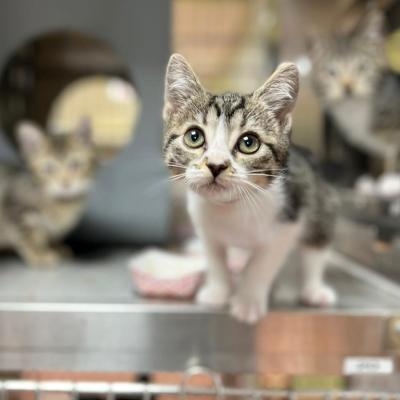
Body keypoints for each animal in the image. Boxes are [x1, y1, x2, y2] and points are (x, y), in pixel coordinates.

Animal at [0, 119, 96, 268]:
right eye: (49, 168)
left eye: (75, 164)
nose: (65, 183)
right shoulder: (15, 212)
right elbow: (27, 237)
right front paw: (39, 255)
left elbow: (47, 237)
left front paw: (55, 248)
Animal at [162, 54, 338, 324]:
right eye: (194, 137)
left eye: (248, 143)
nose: (216, 165)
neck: (231, 208)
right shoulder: (204, 222)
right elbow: (214, 257)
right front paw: (218, 291)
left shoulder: (289, 220)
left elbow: (262, 264)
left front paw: (247, 300)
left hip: (319, 200)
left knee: (316, 246)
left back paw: (314, 289)